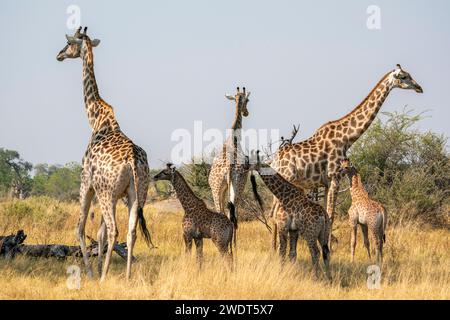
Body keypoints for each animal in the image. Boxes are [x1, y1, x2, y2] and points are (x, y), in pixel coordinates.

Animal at [55, 27, 155, 282]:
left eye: (69, 43)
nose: (59, 55)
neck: (97, 120)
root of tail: (132, 160)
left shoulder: (86, 182)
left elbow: (81, 228)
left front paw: (93, 273)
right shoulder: (115, 193)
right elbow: (98, 233)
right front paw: (101, 268)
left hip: (105, 192)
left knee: (113, 230)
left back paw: (101, 277)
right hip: (137, 193)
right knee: (130, 232)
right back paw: (127, 276)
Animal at [209, 87, 251, 235]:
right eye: (248, 100)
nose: (246, 113)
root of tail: (228, 167)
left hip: (217, 189)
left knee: (222, 212)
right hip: (238, 186)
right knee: (233, 214)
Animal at [270, 64, 422, 245]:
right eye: (404, 76)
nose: (419, 88)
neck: (346, 139)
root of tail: (273, 161)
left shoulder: (325, 182)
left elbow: (328, 213)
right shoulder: (334, 176)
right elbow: (331, 216)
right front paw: (328, 246)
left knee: (272, 213)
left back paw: (273, 247)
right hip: (287, 178)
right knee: (274, 213)